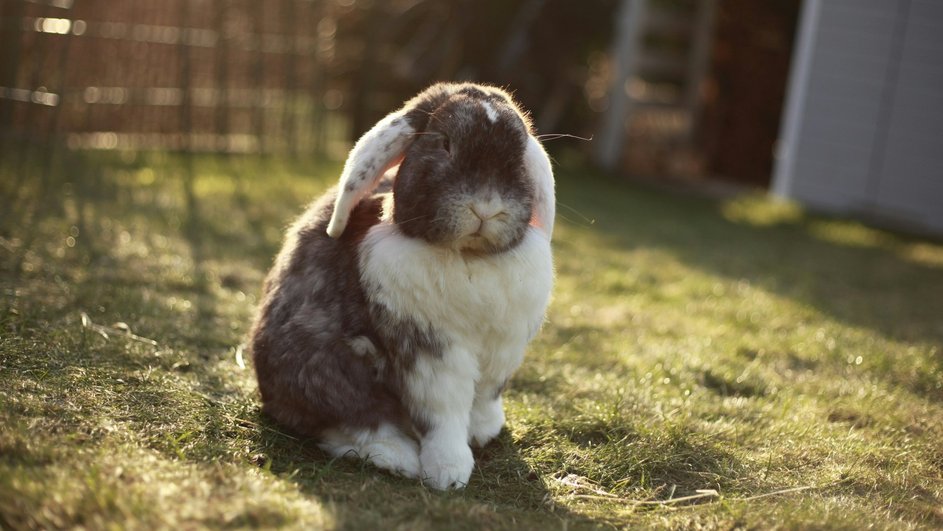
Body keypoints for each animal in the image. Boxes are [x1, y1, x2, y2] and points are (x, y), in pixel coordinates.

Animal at [249, 83, 552, 490]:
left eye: (520, 154)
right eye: (444, 143)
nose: (486, 207)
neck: (469, 258)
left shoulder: (501, 350)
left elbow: (485, 397)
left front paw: (484, 432)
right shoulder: (428, 349)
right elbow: (443, 413)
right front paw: (449, 473)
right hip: (323, 368)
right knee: (350, 424)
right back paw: (399, 458)